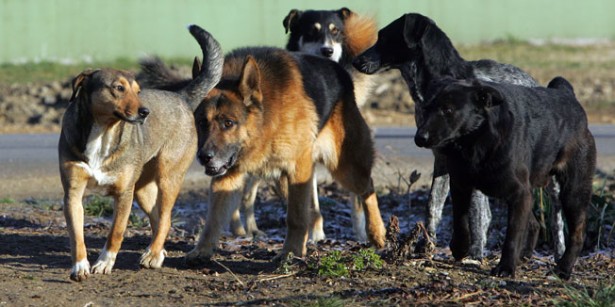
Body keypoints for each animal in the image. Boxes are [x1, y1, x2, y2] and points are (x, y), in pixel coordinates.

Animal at [58, 25, 221, 282]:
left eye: (137, 91)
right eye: (118, 88)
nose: (145, 112)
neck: (102, 133)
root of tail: (181, 97)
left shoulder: (124, 194)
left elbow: (116, 232)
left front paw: (104, 263)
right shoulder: (72, 194)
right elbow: (76, 236)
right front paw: (80, 266)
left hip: (168, 177)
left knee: (165, 217)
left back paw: (152, 255)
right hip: (143, 190)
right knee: (159, 218)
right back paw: (157, 251)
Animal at [184, 47, 384, 264]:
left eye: (228, 123)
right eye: (202, 122)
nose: (204, 157)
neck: (266, 120)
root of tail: (342, 72)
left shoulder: (298, 169)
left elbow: (295, 217)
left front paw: (291, 252)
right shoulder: (227, 177)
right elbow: (213, 219)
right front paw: (202, 250)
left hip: (345, 169)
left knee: (367, 187)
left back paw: (377, 233)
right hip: (285, 181)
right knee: (312, 211)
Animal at [352, 12, 568, 260]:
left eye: (384, 37)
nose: (355, 61)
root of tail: (534, 82)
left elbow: (478, 216)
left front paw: (474, 253)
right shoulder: (442, 160)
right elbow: (433, 206)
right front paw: (425, 246)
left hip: (549, 179)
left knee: (556, 217)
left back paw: (560, 252)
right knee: (530, 221)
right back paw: (524, 255)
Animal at [414, 76, 596, 280]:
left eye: (448, 110)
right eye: (427, 109)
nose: (419, 138)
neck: (475, 142)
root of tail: (567, 94)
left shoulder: (519, 194)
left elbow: (512, 236)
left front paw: (506, 267)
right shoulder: (460, 185)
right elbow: (460, 220)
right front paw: (460, 247)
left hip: (573, 191)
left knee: (577, 233)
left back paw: (563, 269)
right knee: (534, 224)